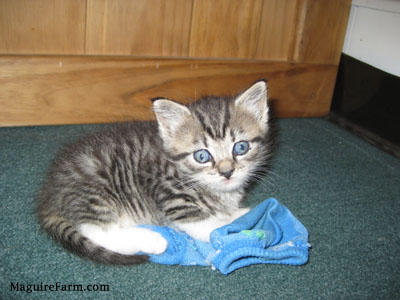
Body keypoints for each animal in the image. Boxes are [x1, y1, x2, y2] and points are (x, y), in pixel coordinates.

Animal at [37, 80, 270, 264]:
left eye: (241, 147)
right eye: (202, 156)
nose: (227, 172)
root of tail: (51, 191)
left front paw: (237, 212)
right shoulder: (171, 194)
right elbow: (210, 228)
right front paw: (241, 222)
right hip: (95, 190)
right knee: (94, 230)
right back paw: (153, 239)